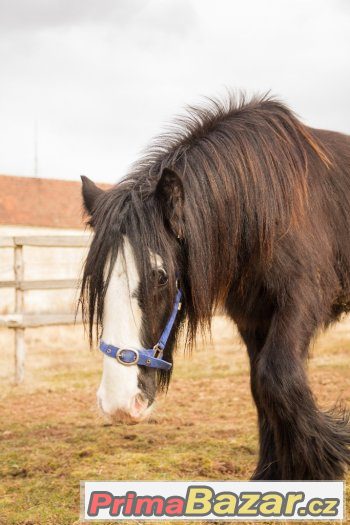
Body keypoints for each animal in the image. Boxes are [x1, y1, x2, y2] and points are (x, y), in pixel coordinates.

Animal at [79, 93, 350, 478]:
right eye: (98, 279)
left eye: (161, 276)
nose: (118, 403)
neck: (267, 208)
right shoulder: (252, 318)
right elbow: (259, 387)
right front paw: (272, 472)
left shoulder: (304, 298)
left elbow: (278, 376)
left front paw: (319, 465)